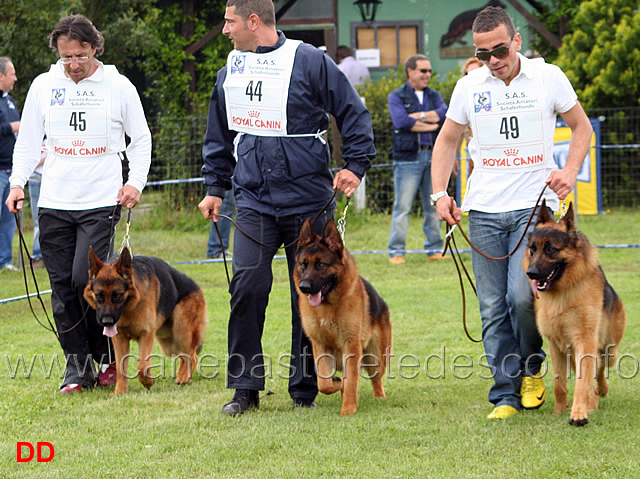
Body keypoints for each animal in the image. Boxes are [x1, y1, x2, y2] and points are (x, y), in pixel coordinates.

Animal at [84, 248, 206, 394]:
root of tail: (197, 287)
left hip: (181, 333)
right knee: (184, 356)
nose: (107, 322)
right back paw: (181, 376)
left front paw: (148, 382)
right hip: (169, 343)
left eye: (118, 295)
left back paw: (184, 378)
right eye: (99, 295)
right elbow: (120, 367)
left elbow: (142, 366)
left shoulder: (146, 334)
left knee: (192, 355)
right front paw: (120, 392)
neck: (129, 308)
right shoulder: (119, 338)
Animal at [294, 219, 390, 414]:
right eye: (303, 264)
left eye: (321, 264)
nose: (304, 287)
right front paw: (337, 384)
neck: (327, 306)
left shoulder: (351, 345)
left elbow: (351, 381)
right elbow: (324, 383)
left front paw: (348, 411)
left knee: (376, 378)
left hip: (375, 358)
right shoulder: (319, 346)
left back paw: (379, 396)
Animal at [524, 201, 624, 426]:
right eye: (533, 249)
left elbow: (583, 381)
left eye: (550, 249)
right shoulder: (555, 346)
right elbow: (559, 383)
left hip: (609, 349)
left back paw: (598, 394)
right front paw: (560, 411)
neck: (563, 294)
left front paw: (579, 413)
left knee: (600, 368)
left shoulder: (585, 341)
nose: (531, 273)